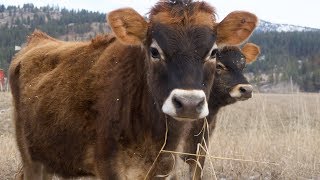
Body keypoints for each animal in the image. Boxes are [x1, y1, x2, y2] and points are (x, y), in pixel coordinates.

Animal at [9, 0, 258, 179]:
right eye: (154, 51)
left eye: (213, 52)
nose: (188, 103)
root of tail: (37, 38)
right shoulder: (108, 166)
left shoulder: (178, 162)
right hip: (31, 157)